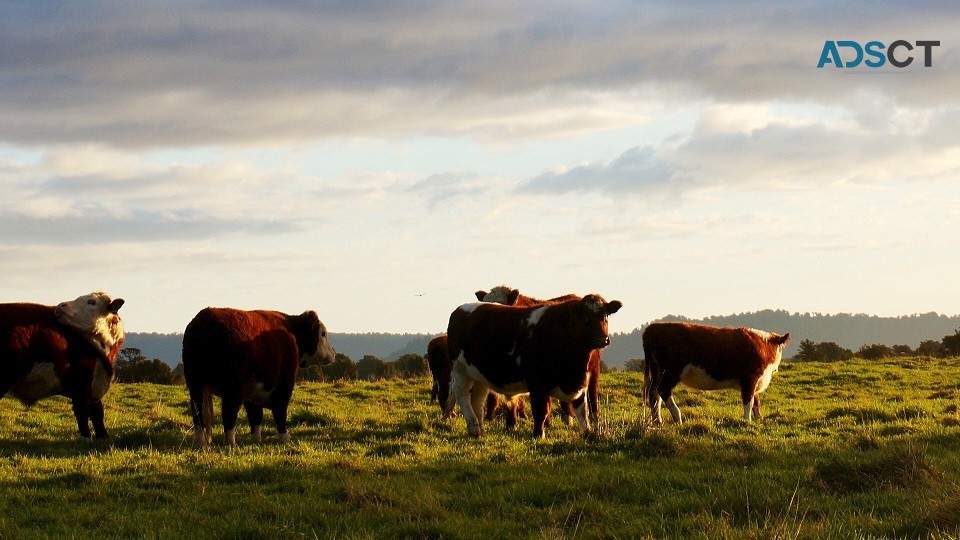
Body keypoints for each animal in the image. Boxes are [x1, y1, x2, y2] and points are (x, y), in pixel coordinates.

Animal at [0, 292, 125, 438]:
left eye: (92, 302)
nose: (61, 305)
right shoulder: (81, 383)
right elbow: (82, 412)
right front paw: (86, 437)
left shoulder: (95, 387)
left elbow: (97, 413)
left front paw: (103, 436)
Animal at [184, 308, 338, 448]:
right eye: (323, 333)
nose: (334, 353)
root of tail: (205, 318)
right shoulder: (285, 383)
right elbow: (280, 410)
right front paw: (284, 437)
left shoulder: (252, 389)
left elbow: (255, 414)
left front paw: (256, 439)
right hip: (232, 387)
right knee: (229, 412)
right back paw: (230, 443)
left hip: (196, 384)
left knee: (197, 412)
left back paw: (199, 442)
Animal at [444, 294, 620, 436]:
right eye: (585, 317)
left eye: (605, 315)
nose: (602, 339)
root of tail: (461, 308)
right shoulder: (537, 382)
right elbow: (540, 410)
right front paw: (538, 434)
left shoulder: (580, 381)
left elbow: (582, 410)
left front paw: (587, 432)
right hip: (460, 369)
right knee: (462, 395)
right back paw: (473, 426)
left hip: (478, 373)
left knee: (477, 399)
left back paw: (479, 429)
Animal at [640, 322, 792, 424]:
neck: (763, 345)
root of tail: (653, 327)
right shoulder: (750, 378)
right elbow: (748, 401)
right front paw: (747, 421)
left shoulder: (755, 381)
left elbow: (756, 401)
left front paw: (759, 419)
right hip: (672, 371)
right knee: (663, 390)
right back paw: (677, 416)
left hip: (657, 369)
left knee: (653, 393)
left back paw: (657, 421)